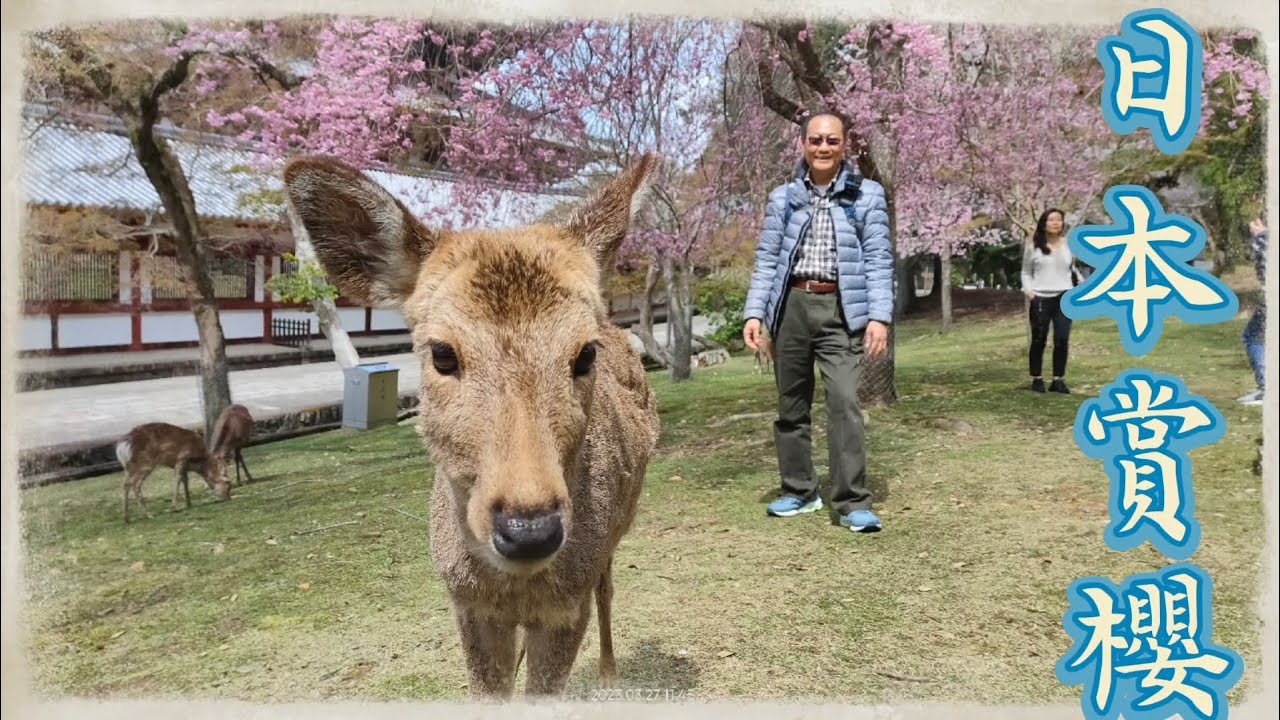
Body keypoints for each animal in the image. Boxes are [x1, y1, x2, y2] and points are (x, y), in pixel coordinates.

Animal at [281, 152, 662, 701]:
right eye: (441, 352)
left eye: (585, 353)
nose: (529, 529)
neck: (513, 585)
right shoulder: (468, 604)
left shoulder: (567, 605)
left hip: (617, 530)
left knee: (608, 585)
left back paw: (610, 672)